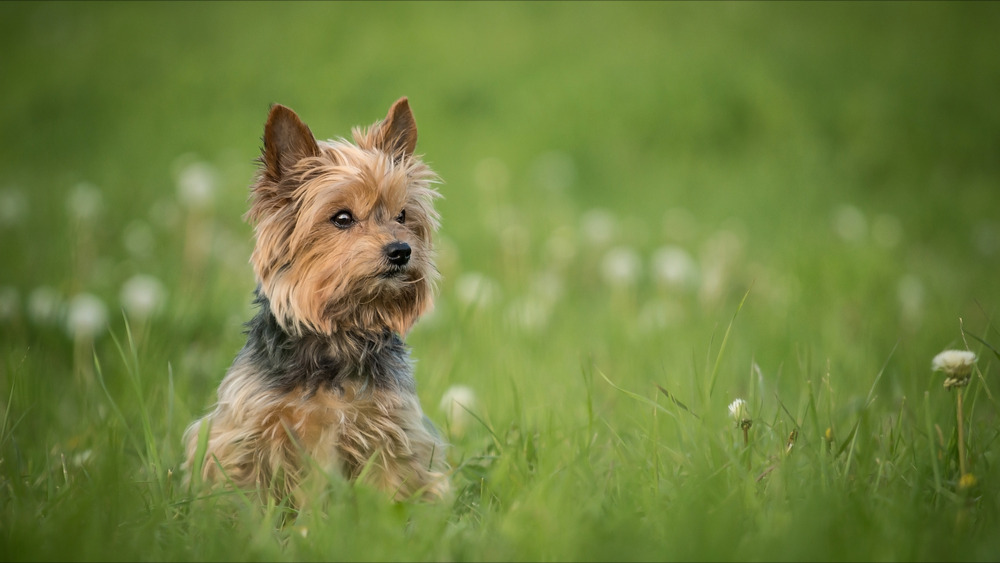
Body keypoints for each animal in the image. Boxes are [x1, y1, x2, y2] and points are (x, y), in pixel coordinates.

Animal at [186, 98, 452, 506]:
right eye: (342, 218)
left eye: (403, 215)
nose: (402, 250)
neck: (340, 335)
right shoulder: (244, 435)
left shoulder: (391, 433)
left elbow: (392, 490)